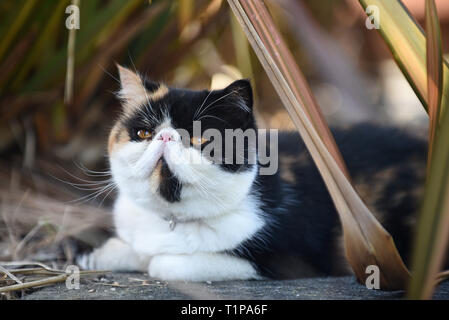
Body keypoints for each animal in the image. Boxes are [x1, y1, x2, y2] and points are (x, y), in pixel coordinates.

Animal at [75, 64, 426, 280]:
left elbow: (165, 264)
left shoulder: (292, 262)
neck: (173, 220)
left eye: (202, 139)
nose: (165, 137)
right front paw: (92, 254)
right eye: (144, 133)